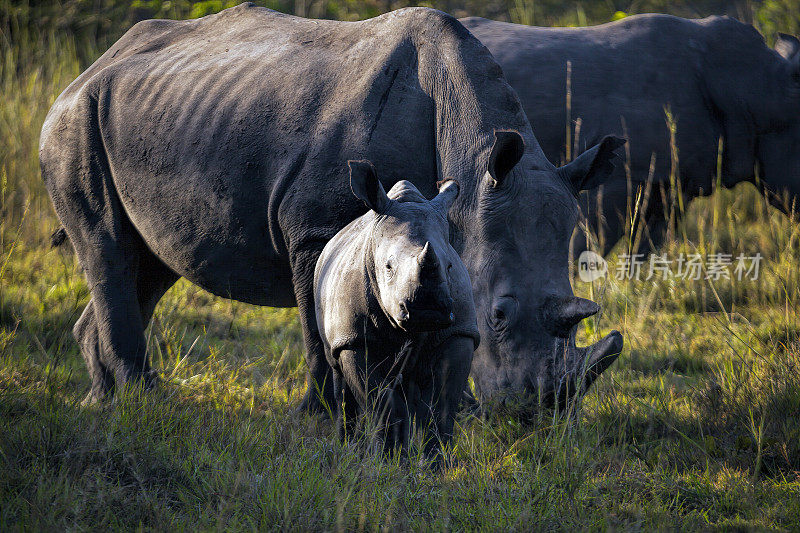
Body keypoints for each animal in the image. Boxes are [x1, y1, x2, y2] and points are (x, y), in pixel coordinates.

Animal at [40, 3, 620, 416]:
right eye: (498, 315)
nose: (535, 414)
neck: (472, 162)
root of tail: (88, 68)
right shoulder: (314, 227)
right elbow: (319, 327)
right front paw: (325, 416)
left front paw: (455, 410)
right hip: (74, 122)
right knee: (108, 247)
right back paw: (142, 403)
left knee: (151, 263)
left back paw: (103, 403)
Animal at [312, 160, 476, 456]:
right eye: (388, 267)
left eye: (449, 266)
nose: (426, 310)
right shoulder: (356, 339)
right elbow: (382, 404)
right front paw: (388, 459)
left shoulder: (458, 332)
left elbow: (442, 407)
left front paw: (437, 461)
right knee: (341, 381)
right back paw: (347, 448)